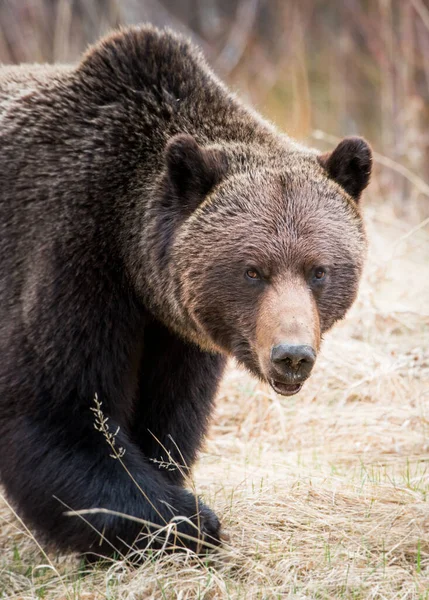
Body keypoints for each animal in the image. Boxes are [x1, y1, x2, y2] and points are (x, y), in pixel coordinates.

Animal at [0, 23, 370, 556]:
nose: (292, 355)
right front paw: (188, 520)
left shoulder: (178, 332)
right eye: (252, 271)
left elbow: (165, 420)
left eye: (318, 270)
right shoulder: (65, 256)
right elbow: (58, 411)